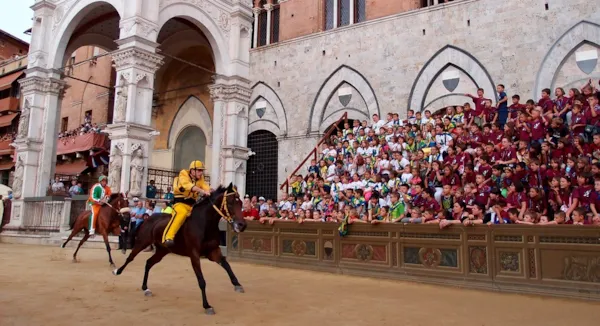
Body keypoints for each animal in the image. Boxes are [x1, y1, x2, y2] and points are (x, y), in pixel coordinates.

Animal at [113, 183, 247, 314]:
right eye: (230, 202)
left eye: (241, 203)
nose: (242, 225)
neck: (204, 223)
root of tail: (148, 218)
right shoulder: (194, 255)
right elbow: (202, 281)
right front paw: (207, 306)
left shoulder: (213, 251)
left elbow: (226, 265)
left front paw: (237, 284)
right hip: (142, 242)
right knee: (130, 258)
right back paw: (117, 271)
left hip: (162, 250)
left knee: (149, 262)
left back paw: (145, 288)